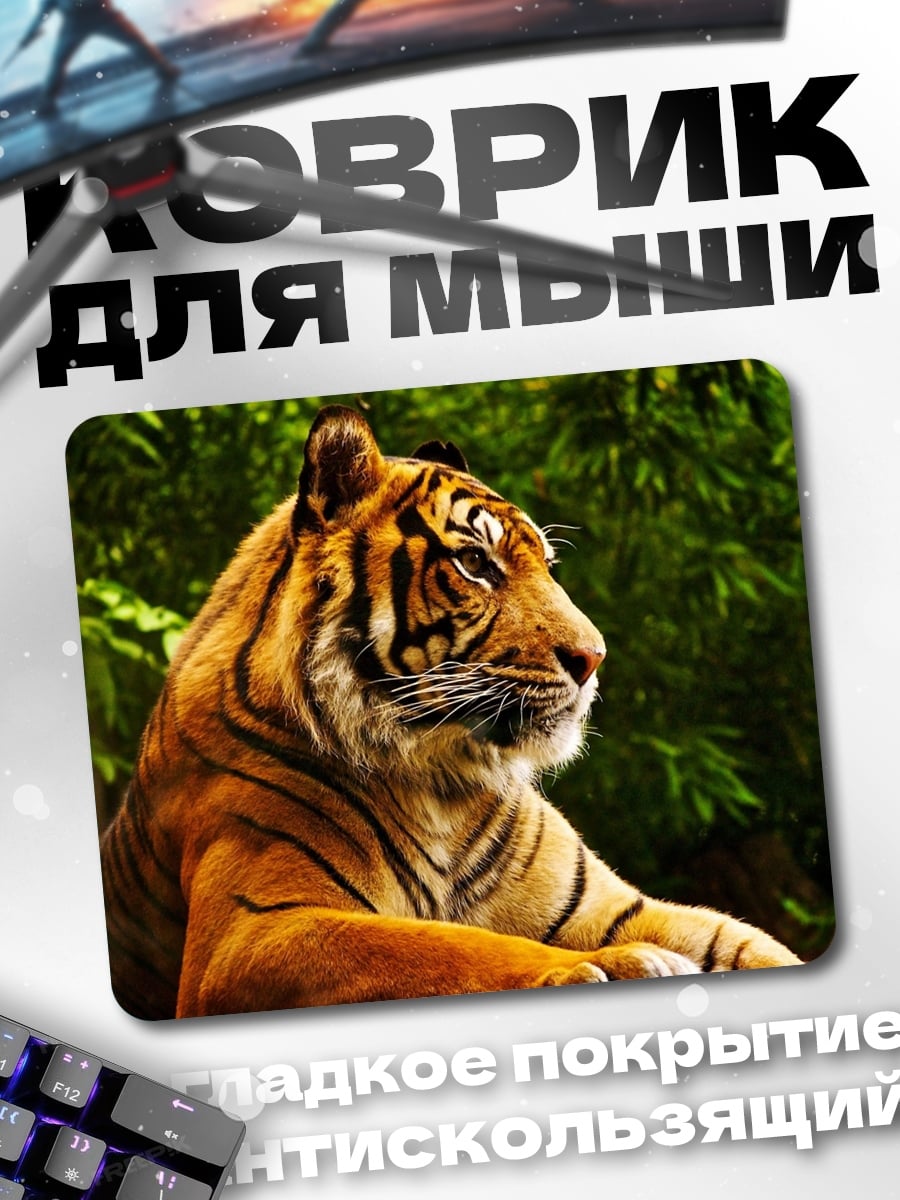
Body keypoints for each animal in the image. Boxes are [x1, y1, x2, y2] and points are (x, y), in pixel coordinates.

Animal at [100, 403, 800, 1019]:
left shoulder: (611, 908)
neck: (440, 780)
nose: (594, 657)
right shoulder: (250, 933)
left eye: (547, 565)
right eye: (474, 563)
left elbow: (754, 944)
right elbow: (447, 946)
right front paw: (607, 966)